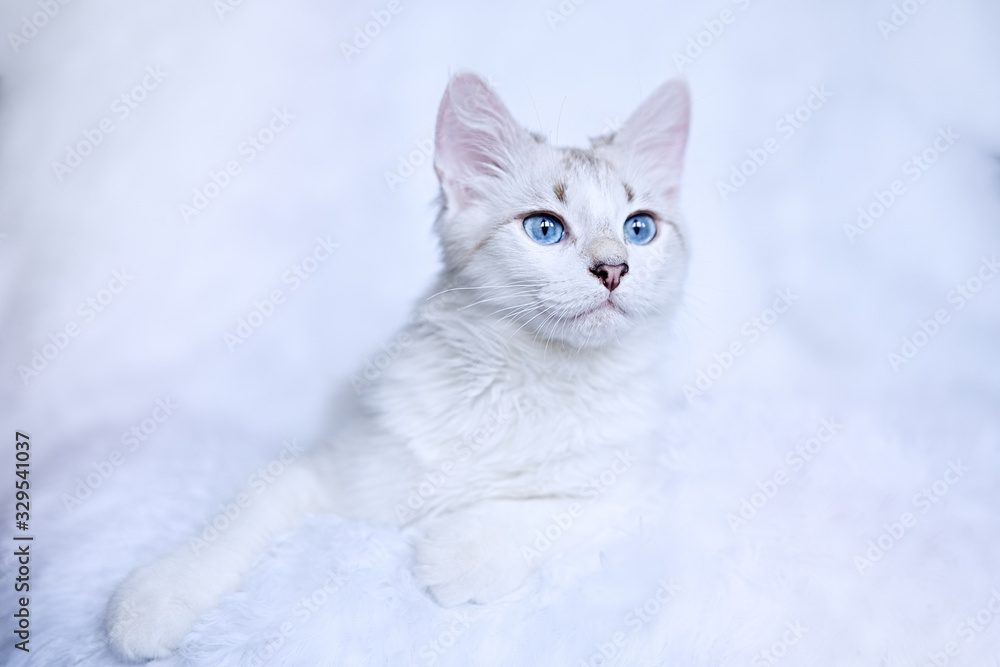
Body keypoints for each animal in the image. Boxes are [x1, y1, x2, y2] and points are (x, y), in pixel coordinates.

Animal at [107, 72, 688, 656]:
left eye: (639, 229)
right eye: (545, 228)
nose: (614, 268)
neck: (530, 378)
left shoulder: (638, 482)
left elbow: (554, 506)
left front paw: (463, 551)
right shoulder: (327, 473)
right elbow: (243, 516)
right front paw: (160, 596)